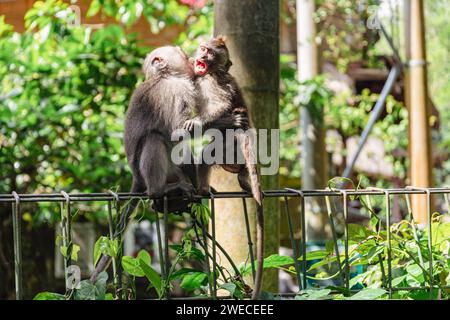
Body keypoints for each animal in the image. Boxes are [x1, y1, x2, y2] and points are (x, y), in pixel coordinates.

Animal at [183, 37, 266, 300]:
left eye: (209, 52)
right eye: (202, 49)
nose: (200, 55)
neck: (211, 72)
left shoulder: (211, 83)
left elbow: (218, 106)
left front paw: (198, 121)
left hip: (230, 147)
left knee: (208, 149)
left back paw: (202, 187)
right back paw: (243, 181)